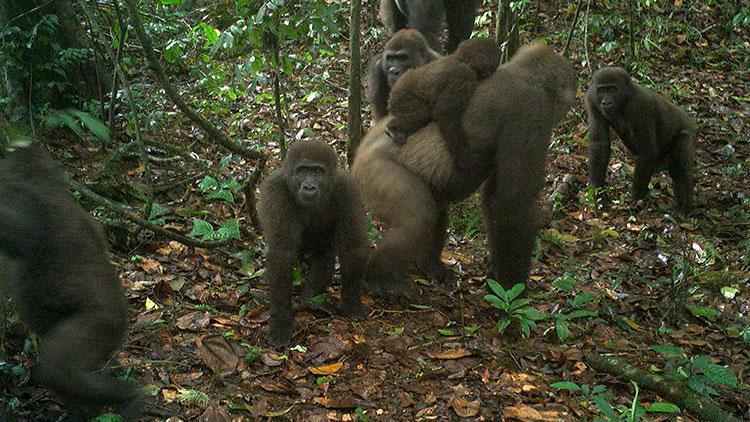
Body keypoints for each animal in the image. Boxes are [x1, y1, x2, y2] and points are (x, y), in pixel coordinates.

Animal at [260, 140, 372, 348]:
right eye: (303, 170)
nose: (309, 187)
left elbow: (352, 246)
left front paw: (351, 302)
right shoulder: (276, 191)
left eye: (318, 172)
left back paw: (312, 299)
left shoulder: (347, 189)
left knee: (324, 253)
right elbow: (282, 254)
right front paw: (281, 321)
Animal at [384, 36, 502, 171]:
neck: (461, 59)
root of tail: (393, 89)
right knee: (420, 114)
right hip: (401, 96)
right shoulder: (463, 77)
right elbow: (445, 115)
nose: (492, 70)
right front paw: (465, 157)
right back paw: (393, 129)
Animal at [588, 68, 700, 218]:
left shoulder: (640, 105)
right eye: (601, 90)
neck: (625, 96)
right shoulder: (591, 98)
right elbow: (599, 143)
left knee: (680, 169)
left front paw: (636, 198)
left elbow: (647, 151)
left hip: (687, 131)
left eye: (612, 89)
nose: (606, 101)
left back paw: (683, 207)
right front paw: (598, 191)